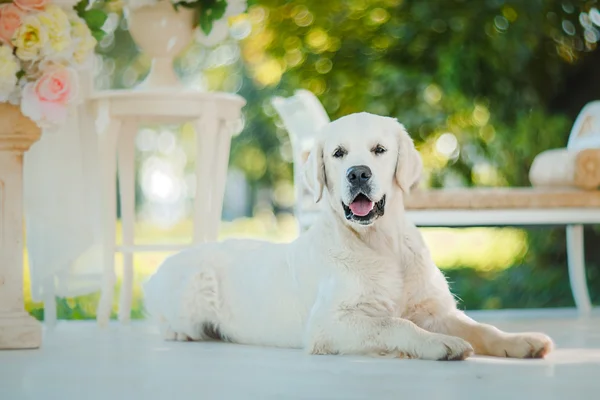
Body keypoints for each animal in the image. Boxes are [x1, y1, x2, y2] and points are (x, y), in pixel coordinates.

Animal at [144, 111, 552, 360]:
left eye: (379, 150)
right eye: (338, 153)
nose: (358, 173)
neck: (381, 245)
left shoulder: (433, 308)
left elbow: (481, 326)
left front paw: (521, 341)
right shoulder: (330, 324)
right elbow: (395, 323)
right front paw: (440, 344)